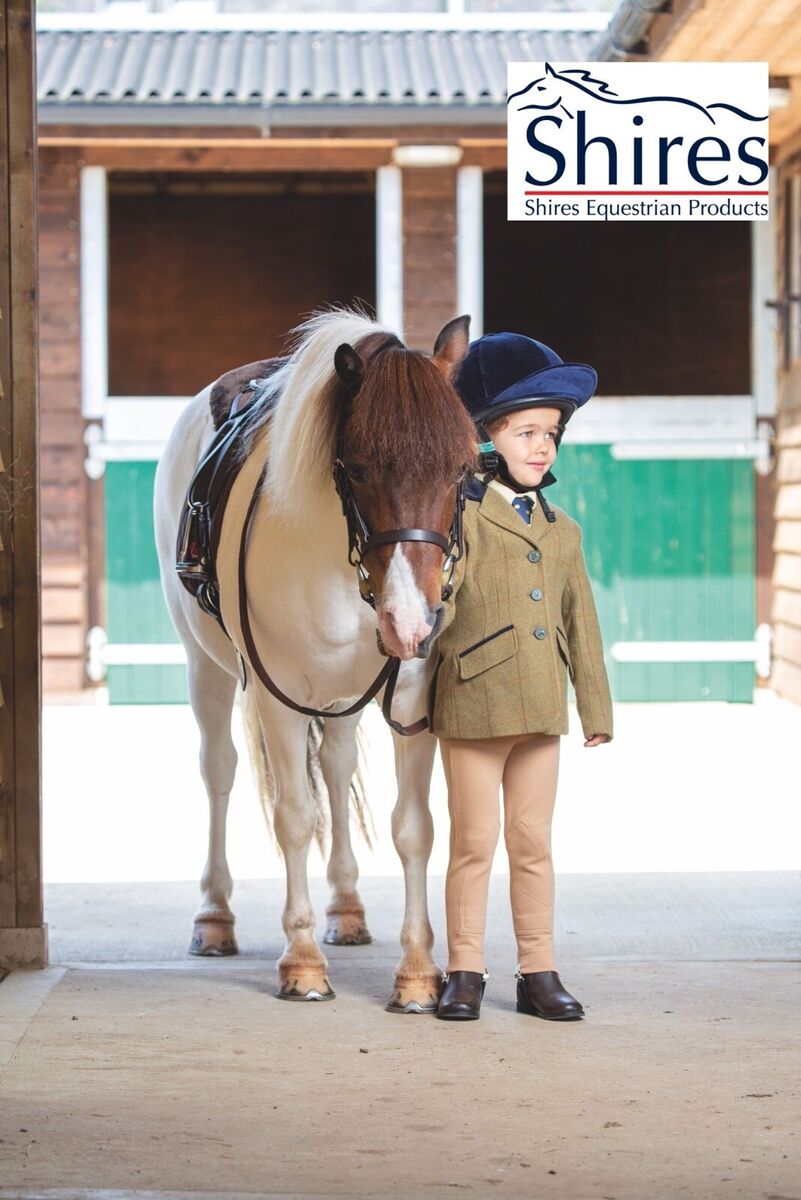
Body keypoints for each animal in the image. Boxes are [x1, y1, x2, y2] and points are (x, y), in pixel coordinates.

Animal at [153, 306, 478, 1011]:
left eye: (464, 470)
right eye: (355, 468)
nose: (412, 621)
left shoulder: (411, 695)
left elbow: (414, 826)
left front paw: (417, 973)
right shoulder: (276, 695)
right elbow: (296, 818)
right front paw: (301, 963)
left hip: (344, 696)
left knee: (335, 764)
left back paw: (347, 910)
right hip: (206, 670)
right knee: (219, 772)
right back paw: (214, 917)